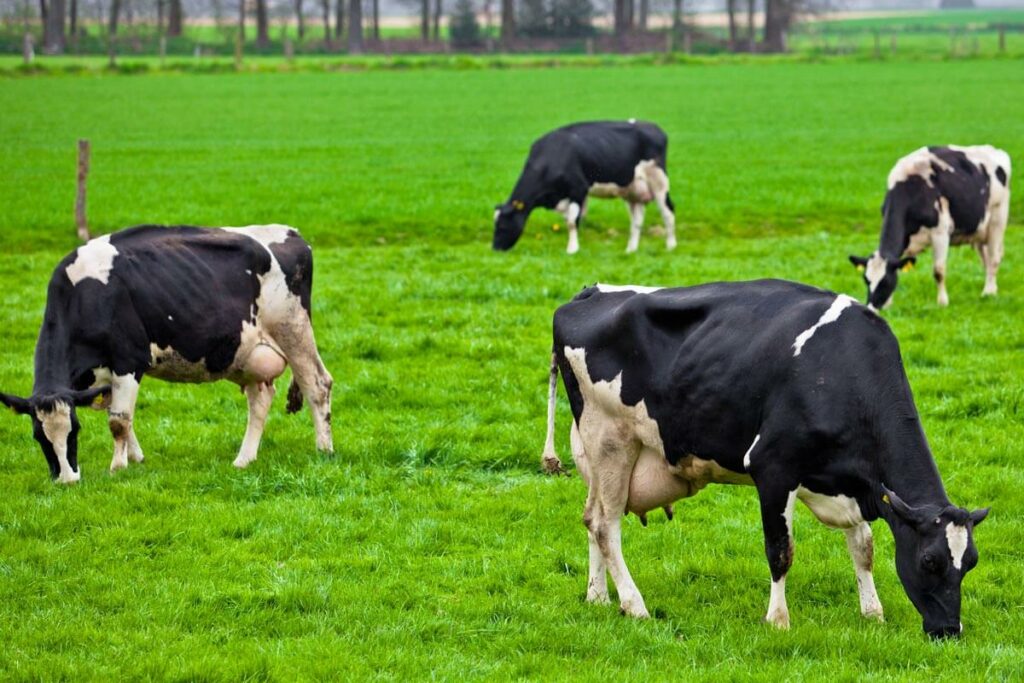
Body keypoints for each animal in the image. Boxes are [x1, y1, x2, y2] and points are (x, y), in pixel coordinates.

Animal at [0, 224, 333, 481]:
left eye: (75, 430)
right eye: (38, 435)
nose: (67, 480)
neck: (85, 295)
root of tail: (292, 234)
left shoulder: (128, 360)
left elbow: (118, 421)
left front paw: (117, 467)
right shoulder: (101, 376)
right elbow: (120, 416)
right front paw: (136, 458)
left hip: (293, 330)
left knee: (318, 385)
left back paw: (324, 449)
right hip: (249, 355)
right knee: (260, 400)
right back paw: (243, 459)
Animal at [491, 120, 675, 253]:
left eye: (502, 226)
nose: (495, 249)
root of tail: (654, 127)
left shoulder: (579, 189)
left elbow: (572, 222)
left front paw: (572, 249)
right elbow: (570, 220)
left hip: (659, 181)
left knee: (668, 212)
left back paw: (671, 246)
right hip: (633, 190)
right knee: (636, 221)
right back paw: (630, 250)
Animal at [540, 280, 987, 638]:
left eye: (971, 563)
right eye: (929, 561)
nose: (949, 630)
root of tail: (589, 293)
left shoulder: (849, 481)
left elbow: (864, 547)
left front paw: (872, 613)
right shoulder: (772, 467)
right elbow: (780, 550)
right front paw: (778, 619)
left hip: (594, 451)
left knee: (591, 516)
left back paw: (599, 597)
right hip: (609, 439)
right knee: (605, 525)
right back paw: (635, 605)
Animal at [847, 145, 1007, 309]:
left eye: (885, 282)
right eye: (866, 280)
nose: (871, 307)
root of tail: (993, 149)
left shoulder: (940, 233)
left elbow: (939, 270)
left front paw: (942, 302)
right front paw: (889, 304)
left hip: (998, 218)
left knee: (994, 258)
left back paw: (988, 293)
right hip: (980, 231)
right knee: (986, 259)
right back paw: (992, 289)